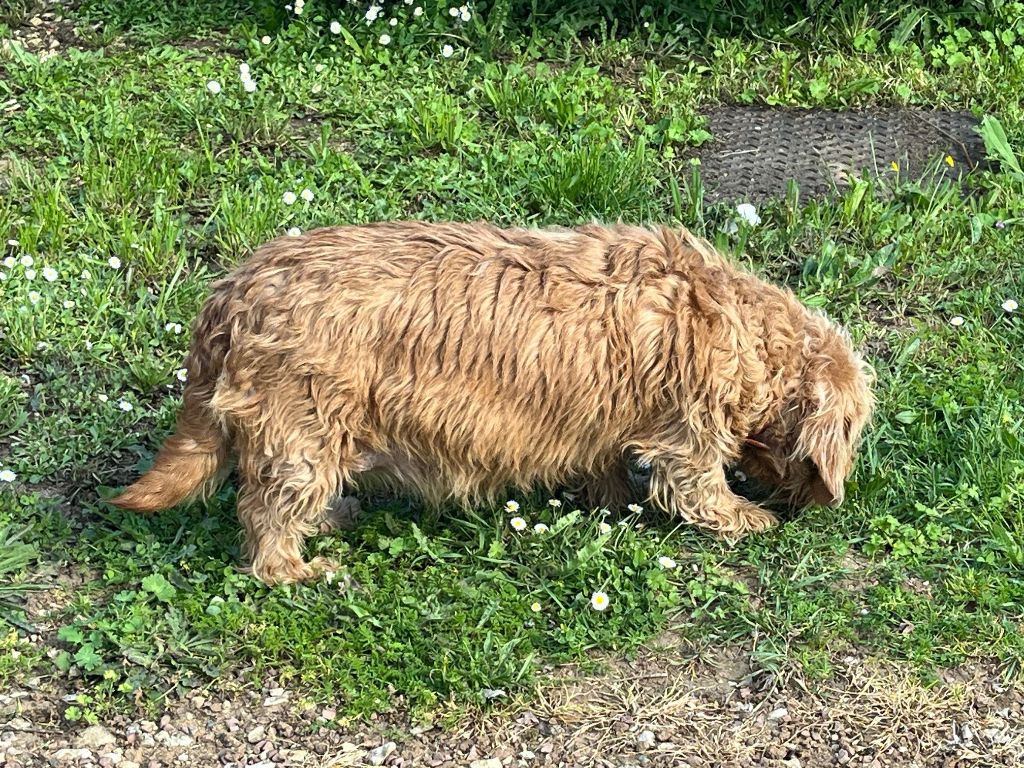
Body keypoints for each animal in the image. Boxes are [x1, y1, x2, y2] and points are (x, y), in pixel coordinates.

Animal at [114, 225, 880, 585]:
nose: (821, 508)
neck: (734, 320)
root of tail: (230, 296)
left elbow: (607, 466)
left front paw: (608, 501)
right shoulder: (686, 430)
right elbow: (698, 485)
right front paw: (745, 518)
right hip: (303, 426)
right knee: (266, 514)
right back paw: (298, 568)